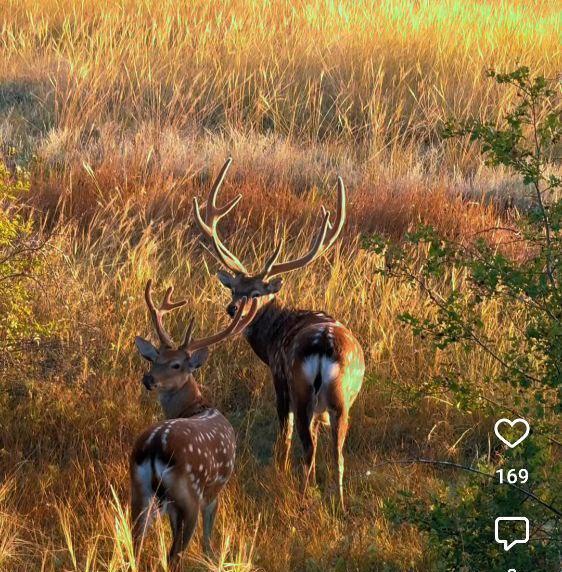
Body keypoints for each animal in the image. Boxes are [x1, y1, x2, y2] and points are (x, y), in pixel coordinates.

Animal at [130, 280, 255, 564]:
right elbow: (209, 533)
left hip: (139, 490)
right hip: (188, 495)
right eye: (155, 359)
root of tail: (155, 446)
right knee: (175, 554)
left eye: (176, 364)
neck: (196, 407)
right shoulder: (215, 490)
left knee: (135, 542)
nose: (148, 379)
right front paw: (212, 558)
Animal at [192, 158, 366, 510]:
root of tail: (325, 347)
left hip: (300, 388)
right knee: (337, 452)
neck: (274, 335)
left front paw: (280, 470)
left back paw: (300, 496)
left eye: (257, 293)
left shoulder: (278, 375)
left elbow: (282, 434)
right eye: (234, 288)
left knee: (306, 444)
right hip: (342, 398)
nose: (233, 309)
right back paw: (338, 502)